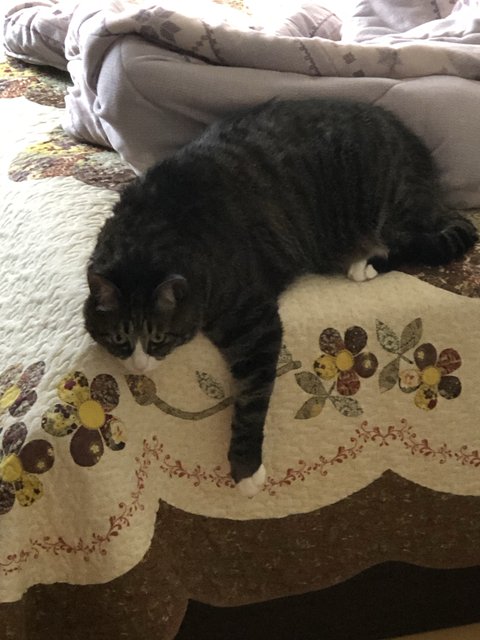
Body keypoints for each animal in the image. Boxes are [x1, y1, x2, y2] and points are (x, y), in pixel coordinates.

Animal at [84, 98, 478, 496]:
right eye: (118, 339)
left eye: (159, 338)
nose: (137, 367)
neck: (154, 231)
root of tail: (412, 142)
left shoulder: (254, 321)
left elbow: (251, 399)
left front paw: (246, 471)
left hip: (395, 207)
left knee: (439, 236)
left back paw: (365, 263)